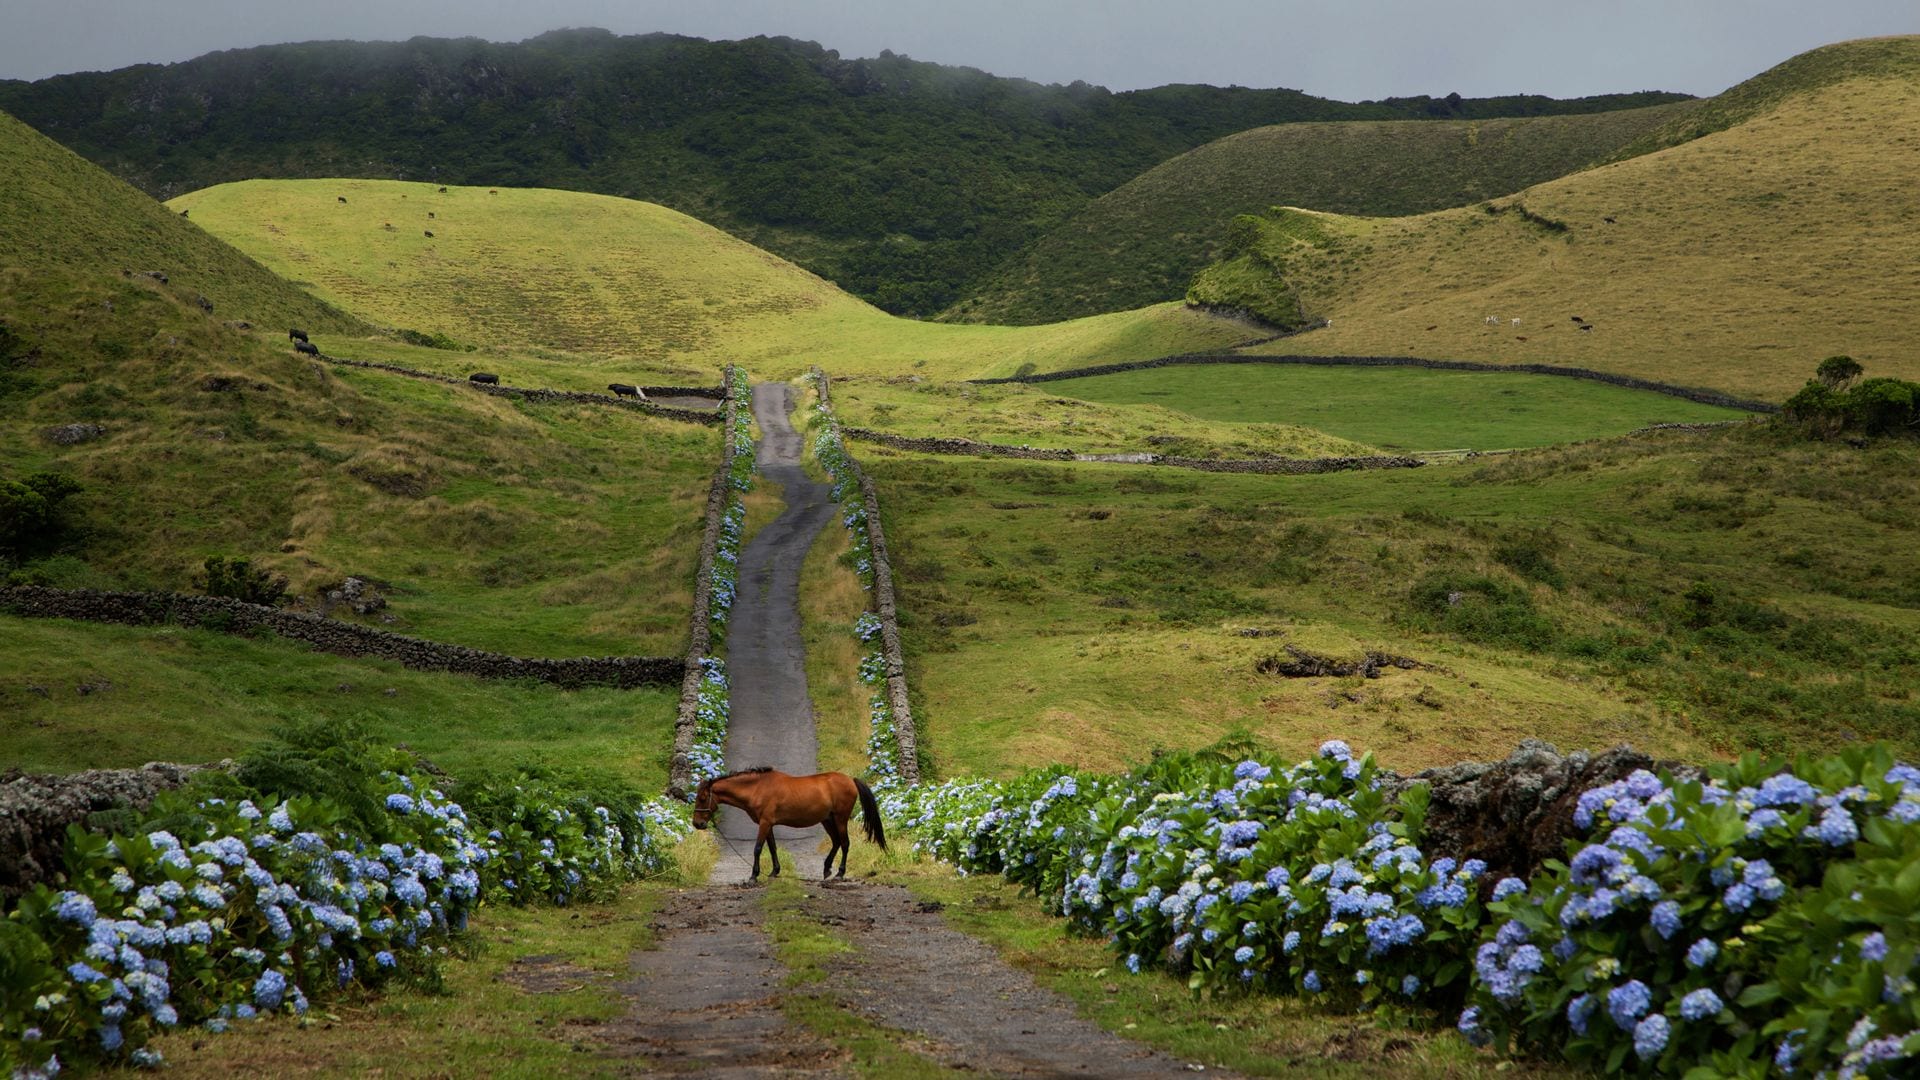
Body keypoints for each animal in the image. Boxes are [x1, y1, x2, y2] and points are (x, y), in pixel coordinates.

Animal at [695, 760, 887, 880]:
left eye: (703, 798)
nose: (697, 824)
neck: (758, 788)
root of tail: (850, 780)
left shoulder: (765, 823)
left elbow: (757, 848)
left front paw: (754, 876)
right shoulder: (768, 824)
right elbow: (772, 847)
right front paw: (774, 871)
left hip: (840, 819)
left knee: (845, 844)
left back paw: (840, 873)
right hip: (827, 820)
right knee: (836, 842)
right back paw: (826, 869)